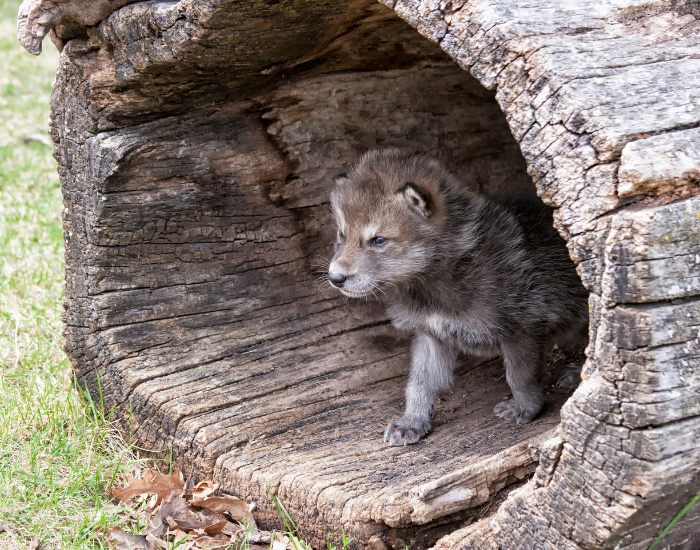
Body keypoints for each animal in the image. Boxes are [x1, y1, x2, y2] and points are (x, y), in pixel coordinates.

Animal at [327, 149, 588, 446]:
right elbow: (418, 385)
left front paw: (525, 409)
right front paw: (411, 422)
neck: (433, 286)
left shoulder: (523, 328)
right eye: (342, 235)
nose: (335, 278)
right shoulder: (430, 334)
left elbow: (519, 377)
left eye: (378, 240)